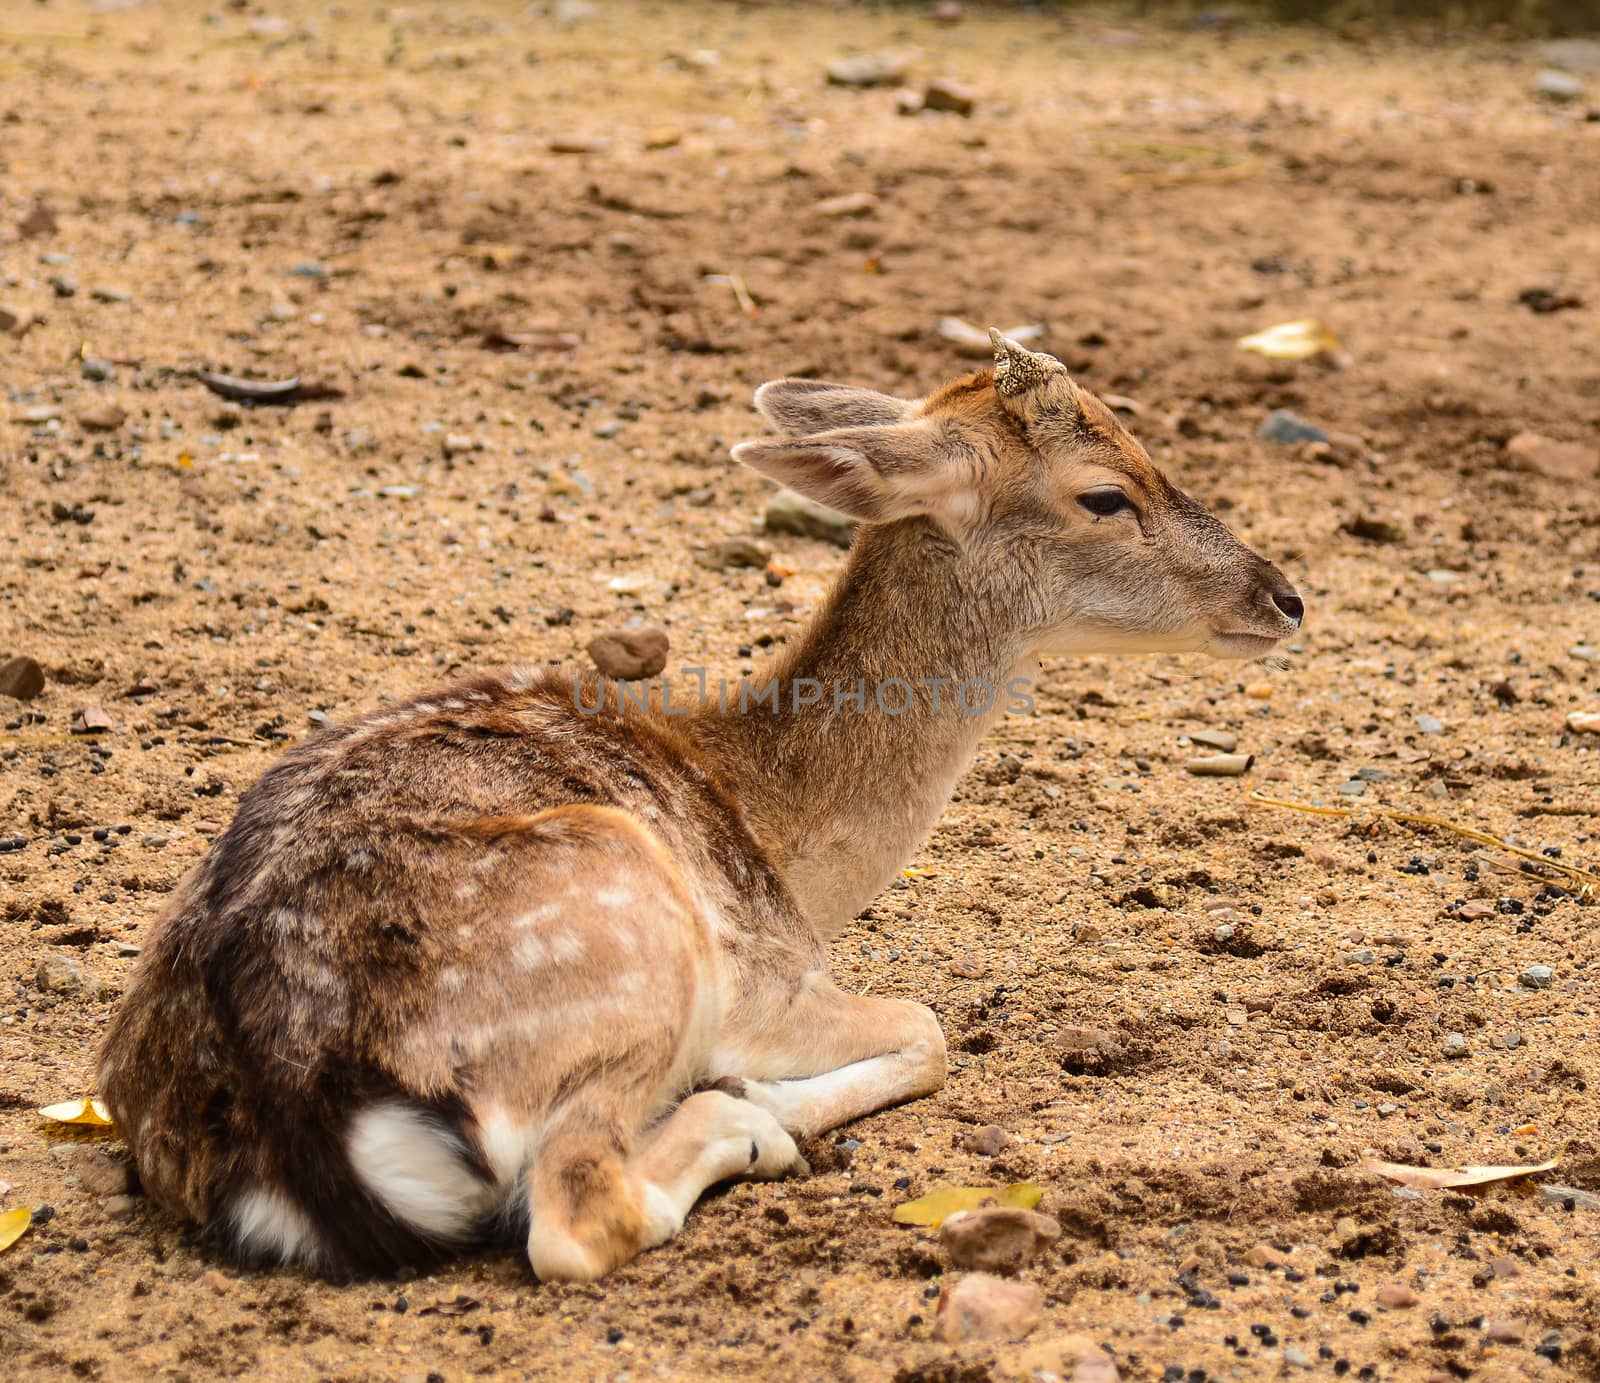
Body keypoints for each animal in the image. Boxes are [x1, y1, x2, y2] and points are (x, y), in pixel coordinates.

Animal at [96, 329, 1299, 1280]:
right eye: (1105, 492)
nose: (1284, 595)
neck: (783, 840)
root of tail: (301, 1126)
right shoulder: (771, 979)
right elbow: (928, 1026)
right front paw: (766, 1098)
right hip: (632, 944)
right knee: (577, 1214)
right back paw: (737, 1123)